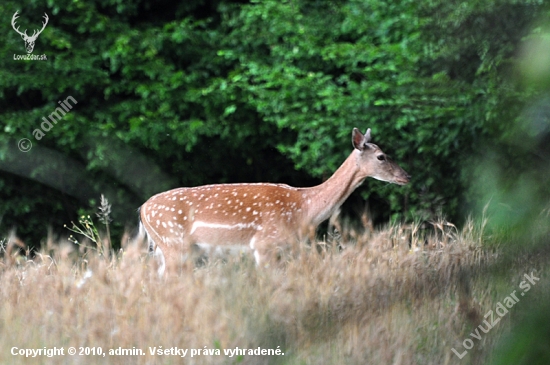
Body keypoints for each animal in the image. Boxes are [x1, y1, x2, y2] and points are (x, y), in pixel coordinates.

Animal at [140, 128, 412, 272]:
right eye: (381, 156)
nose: (406, 176)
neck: (305, 210)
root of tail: (142, 209)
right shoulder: (264, 244)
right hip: (173, 243)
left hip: (167, 249)